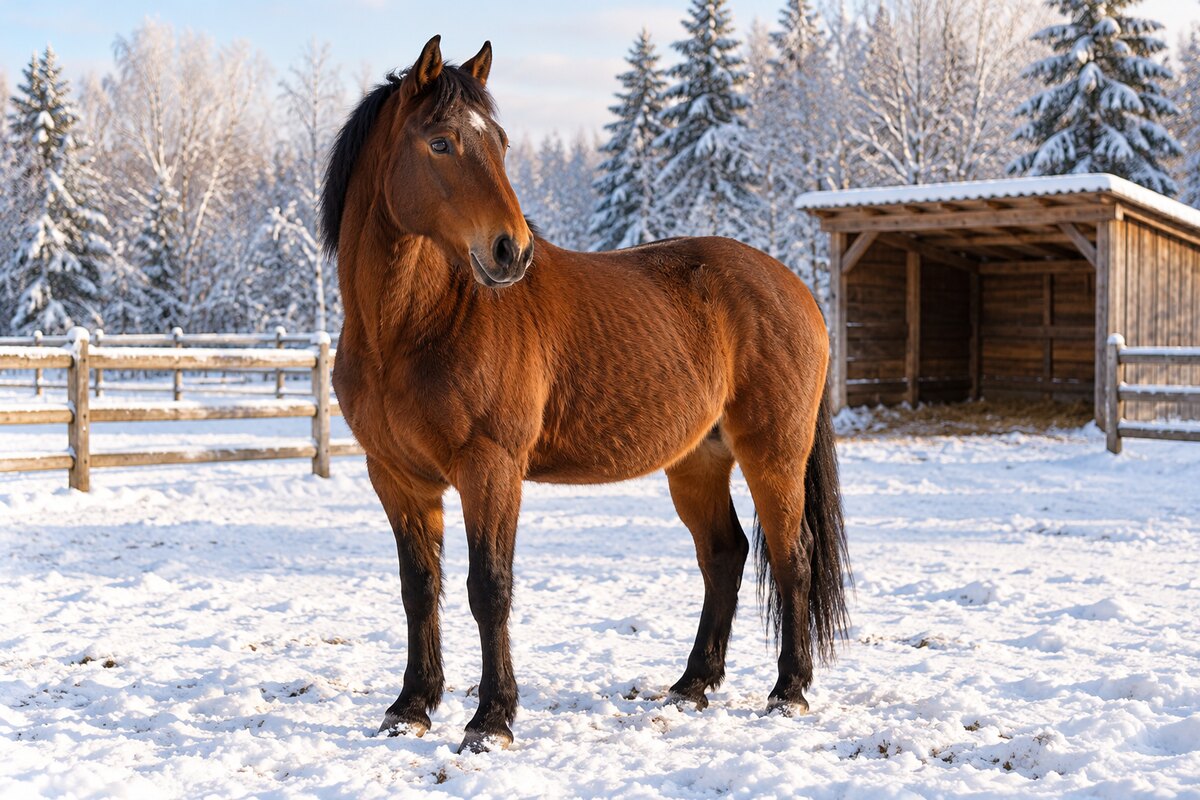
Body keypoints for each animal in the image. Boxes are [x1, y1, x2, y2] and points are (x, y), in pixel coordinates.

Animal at [321, 35, 850, 754]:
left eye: (499, 142)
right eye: (440, 142)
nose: (510, 251)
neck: (414, 326)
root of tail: (795, 287)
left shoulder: (490, 470)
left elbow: (489, 588)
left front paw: (491, 720)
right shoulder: (397, 477)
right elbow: (419, 588)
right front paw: (410, 707)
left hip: (774, 454)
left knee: (793, 558)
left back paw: (788, 692)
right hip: (698, 461)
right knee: (725, 556)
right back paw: (691, 686)